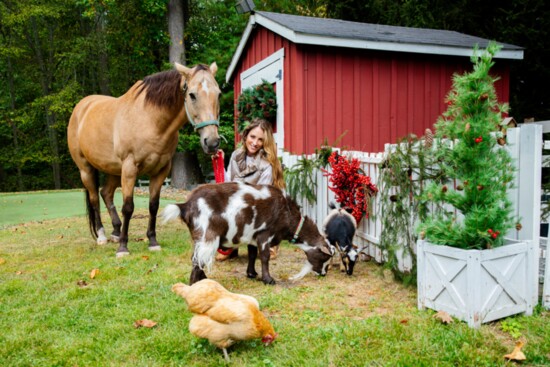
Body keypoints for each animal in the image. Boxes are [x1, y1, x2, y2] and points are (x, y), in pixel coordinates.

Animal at [69, 62, 222, 258]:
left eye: (218, 94)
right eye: (192, 95)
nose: (212, 142)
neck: (150, 119)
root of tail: (81, 107)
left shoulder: (160, 171)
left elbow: (153, 206)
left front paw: (152, 241)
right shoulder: (129, 168)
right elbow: (128, 207)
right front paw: (123, 248)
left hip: (114, 170)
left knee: (106, 193)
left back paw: (116, 232)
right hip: (86, 169)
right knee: (95, 199)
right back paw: (102, 236)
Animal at [163, 183, 336, 286]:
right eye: (324, 257)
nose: (323, 274)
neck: (286, 212)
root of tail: (186, 205)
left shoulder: (252, 237)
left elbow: (252, 255)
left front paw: (252, 274)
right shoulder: (265, 234)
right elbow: (264, 257)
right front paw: (268, 279)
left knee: (196, 258)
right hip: (207, 235)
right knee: (198, 259)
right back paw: (195, 285)